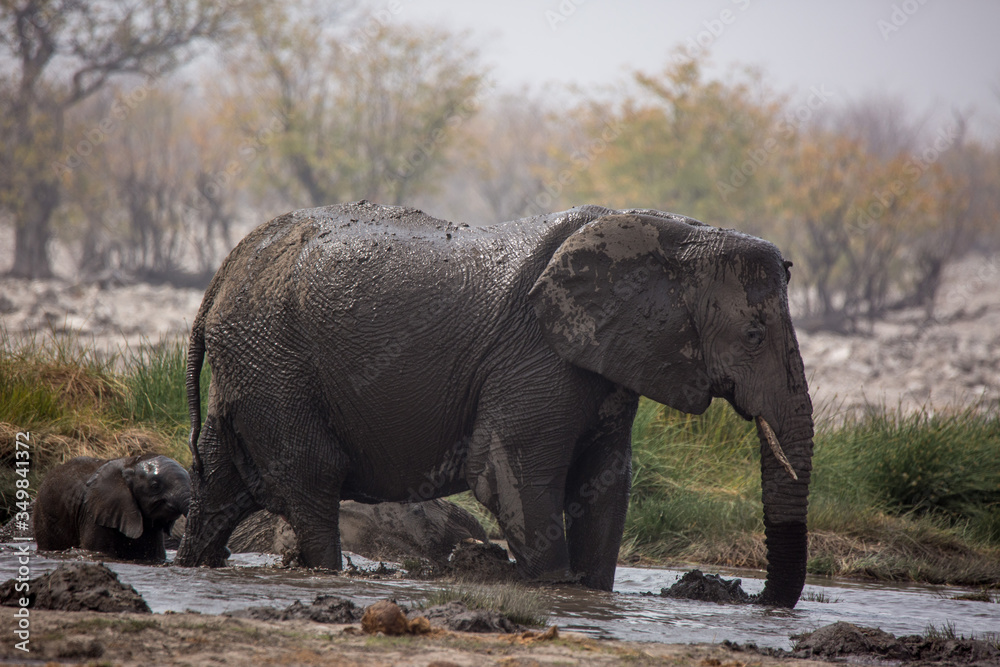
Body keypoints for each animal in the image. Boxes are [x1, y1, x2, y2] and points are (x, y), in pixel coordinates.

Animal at [176, 201, 814, 608]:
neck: (673, 233)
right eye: (754, 335)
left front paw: (593, 595)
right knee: (313, 483)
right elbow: (516, 478)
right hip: (275, 362)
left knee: (220, 482)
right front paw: (556, 592)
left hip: (253, 366)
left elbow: (605, 485)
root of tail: (218, 280)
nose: (755, 599)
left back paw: (190, 566)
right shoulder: (536, 355)